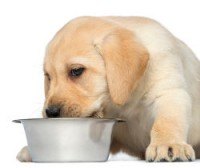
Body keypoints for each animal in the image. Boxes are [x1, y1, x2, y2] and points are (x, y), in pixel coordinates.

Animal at [17, 16, 200, 161]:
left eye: (76, 71)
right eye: (48, 76)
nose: (51, 112)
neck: (123, 102)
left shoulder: (170, 92)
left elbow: (167, 121)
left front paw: (169, 144)